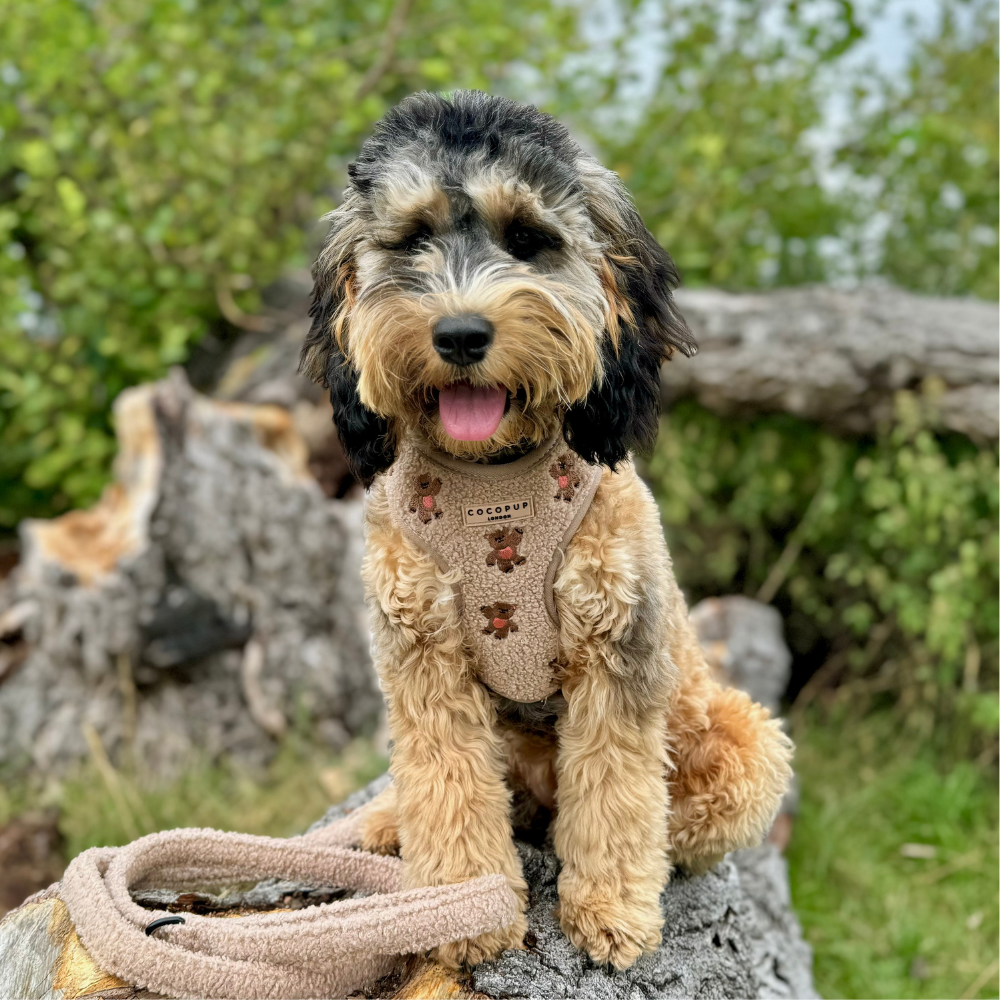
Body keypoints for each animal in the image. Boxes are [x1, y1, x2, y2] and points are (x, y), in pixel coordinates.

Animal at [300, 92, 792, 968]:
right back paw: (393, 820)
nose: (461, 334)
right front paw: (466, 907)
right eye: (412, 238)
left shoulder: (617, 646)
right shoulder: (423, 653)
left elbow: (616, 796)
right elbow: (447, 781)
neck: (496, 477)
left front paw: (610, 911)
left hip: (745, 738)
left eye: (527, 239)